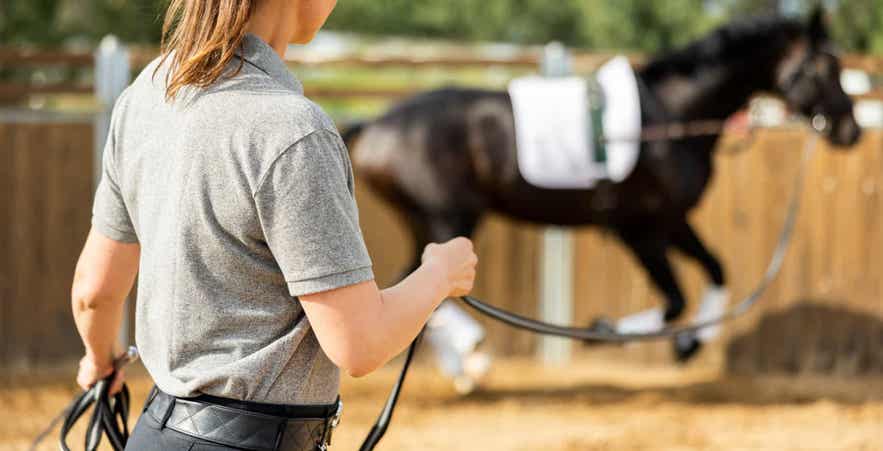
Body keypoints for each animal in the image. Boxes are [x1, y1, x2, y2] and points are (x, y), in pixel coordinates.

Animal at [342, 9, 862, 363]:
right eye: (825, 67)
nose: (851, 130)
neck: (670, 118)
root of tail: (376, 126)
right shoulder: (640, 229)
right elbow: (675, 299)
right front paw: (611, 330)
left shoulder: (672, 221)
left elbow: (716, 270)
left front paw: (691, 343)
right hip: (446, 218)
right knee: (419, 290)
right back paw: (471, 354)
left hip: (430, 222)